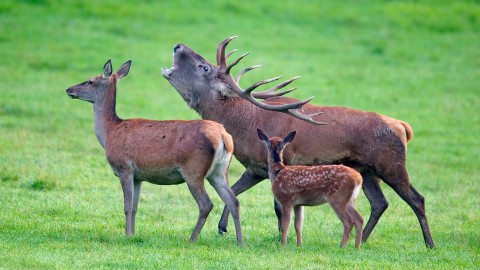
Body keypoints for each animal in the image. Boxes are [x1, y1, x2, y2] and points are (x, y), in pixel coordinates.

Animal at [65, 59, 242, 245]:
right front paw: (132, 234)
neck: (110, 132)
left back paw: (192, 239)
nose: (69, 89)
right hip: (220, 171)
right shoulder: (138, 176)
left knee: (206, 204)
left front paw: (126, 235)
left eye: (90, 81)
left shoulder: (124, 168)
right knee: (233, 201)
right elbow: (135, 207)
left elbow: (127, 206)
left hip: (193, 170)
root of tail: (224, 137)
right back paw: (240, 242)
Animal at [161, 36, 436, 249]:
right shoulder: (256, 168)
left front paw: (281, 238)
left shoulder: (283, 161)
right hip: (366, 170)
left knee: (417, 199)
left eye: (203, 67)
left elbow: (277, 207)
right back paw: (364, 240)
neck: (242, 125)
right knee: (380, 203)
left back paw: (429, 243)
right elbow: (236, 191)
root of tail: (403, 127)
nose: (178, 45)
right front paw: (222, 227)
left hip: (390, 163)